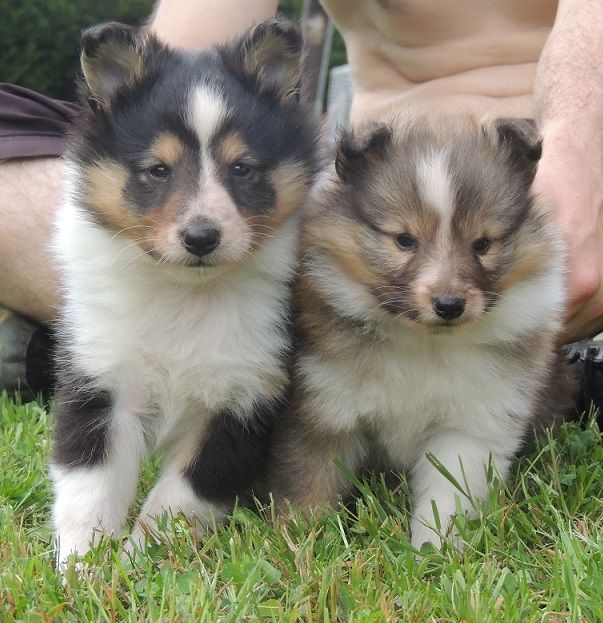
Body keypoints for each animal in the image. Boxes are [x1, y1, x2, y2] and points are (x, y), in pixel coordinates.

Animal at [52, 19, 320, 564]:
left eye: (242, 168)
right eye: (158, 170)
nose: (201, 238)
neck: (183, 295)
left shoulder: (244, 400)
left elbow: (179, 497)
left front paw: (142, 560)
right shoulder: (99, 382)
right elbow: (88, 488)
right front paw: (82, 566)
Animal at [274, 117, 576, 552]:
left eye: (482, 243)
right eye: (404, 239)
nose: (449, 304)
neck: (424, 342)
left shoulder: (471, 423)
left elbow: (448, 492)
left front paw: (435, 551)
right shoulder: (325, 408)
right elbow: (309, 482)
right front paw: (302, 540)